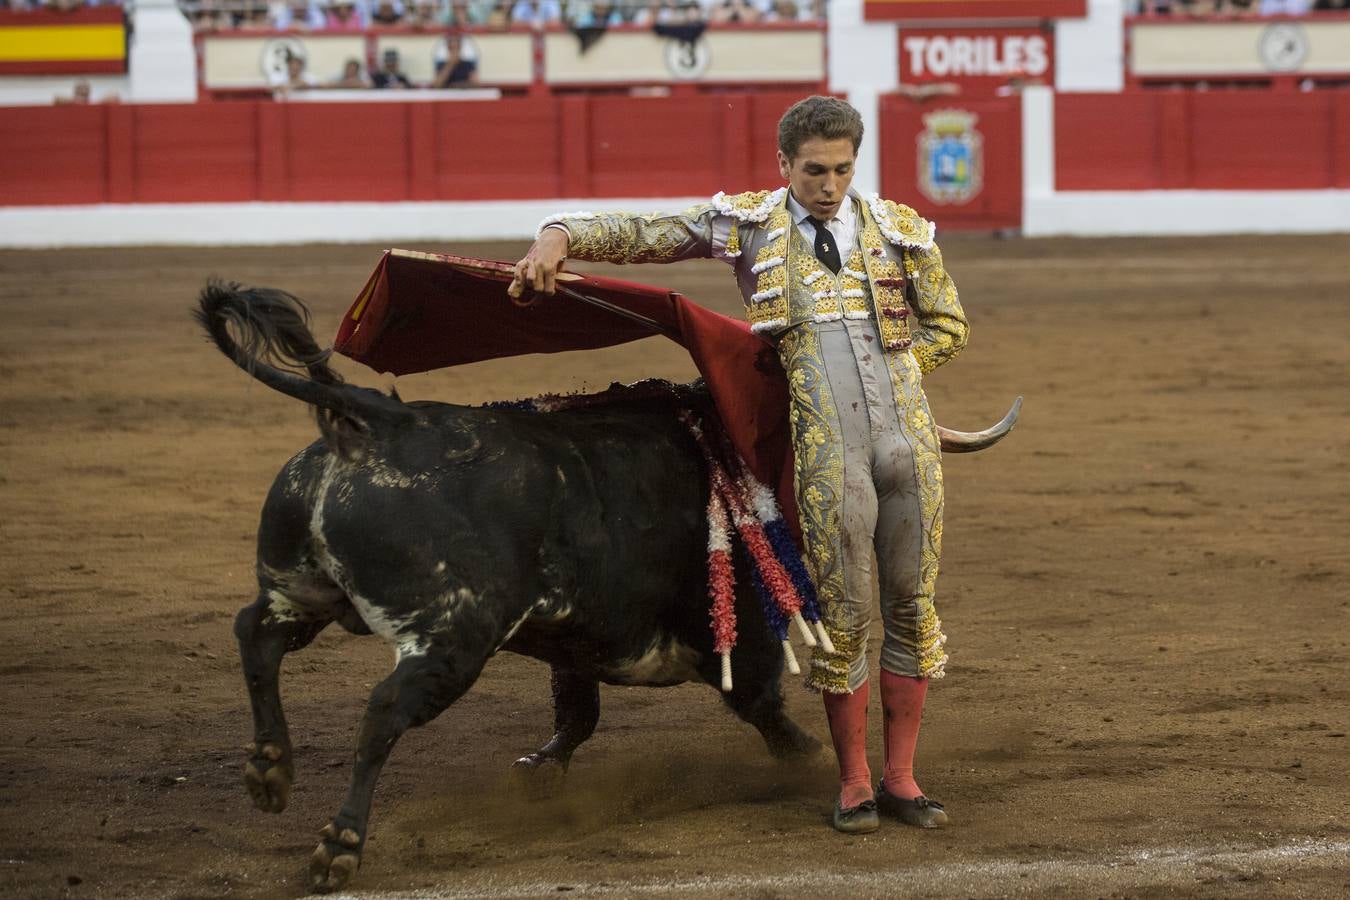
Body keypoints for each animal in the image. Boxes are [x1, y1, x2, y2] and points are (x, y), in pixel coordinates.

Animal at [193, 282, 1015, 895]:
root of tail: (377, 418)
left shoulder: (574, 638)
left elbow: (578, 714)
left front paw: (540, 771)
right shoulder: (742, 631)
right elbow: (758, 703)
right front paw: (809, 757)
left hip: (305, 589)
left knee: (255, 634)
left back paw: (269, 771)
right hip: (452, 636)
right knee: (383, 709)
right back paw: (338, 845)